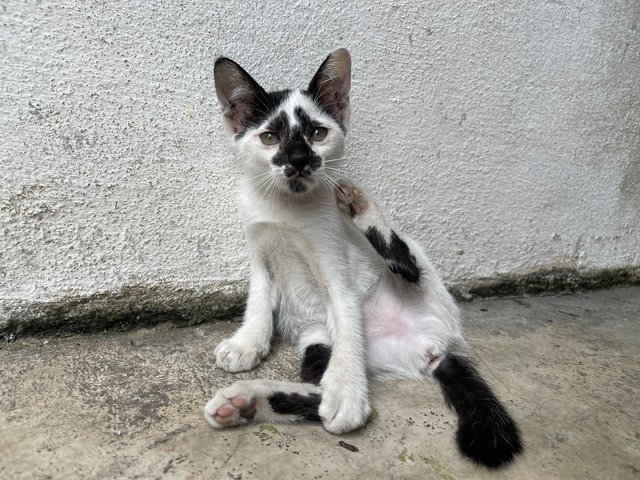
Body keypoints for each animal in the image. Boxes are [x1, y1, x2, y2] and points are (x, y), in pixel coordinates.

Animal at [202, 48, 524, 468]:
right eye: (270, 137)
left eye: (318, 134)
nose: (299, 160)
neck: (286, 208)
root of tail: (436, 348)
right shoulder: (258, 252)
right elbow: (258, 301)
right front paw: (247, 343)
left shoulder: (335, 263)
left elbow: (347, 316)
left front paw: (347, 392)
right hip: (317, 340)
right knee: (315, 392)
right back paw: (245, 402)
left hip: (418, 280)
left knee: (407, 267)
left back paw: (361, 208)